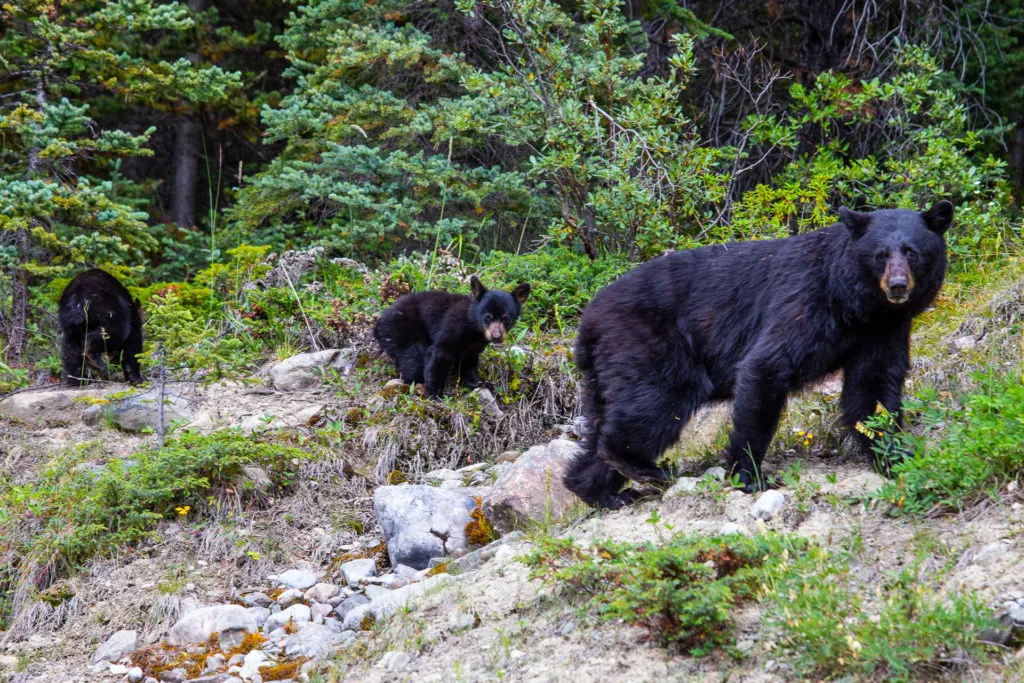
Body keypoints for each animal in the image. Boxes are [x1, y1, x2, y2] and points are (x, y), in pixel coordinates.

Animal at [378, 276, 536, 397]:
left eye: (506, 319)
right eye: (488, 317)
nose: (496, 337)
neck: (474, 328)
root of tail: (378, 323)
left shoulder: (475, 345)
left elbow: (469, 361)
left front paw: (479, 382)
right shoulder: (453, 327)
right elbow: (439, 354)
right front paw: (436, 394)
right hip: (403, 328)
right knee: (413, 355)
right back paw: (415, 383)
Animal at [565, 200, 946, 509]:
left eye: (912, 252)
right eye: (881, 254)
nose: (897, 286)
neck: (859, 305)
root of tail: (588, 322)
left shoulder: (883, 330)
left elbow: (872, 389)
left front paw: (894, 455)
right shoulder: (806, 302)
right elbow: (767, 367)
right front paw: (749, 476)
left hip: (604, 371)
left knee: (606, 423)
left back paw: (601, 492)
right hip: (649, 346)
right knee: (656, 403)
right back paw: (642, 468)